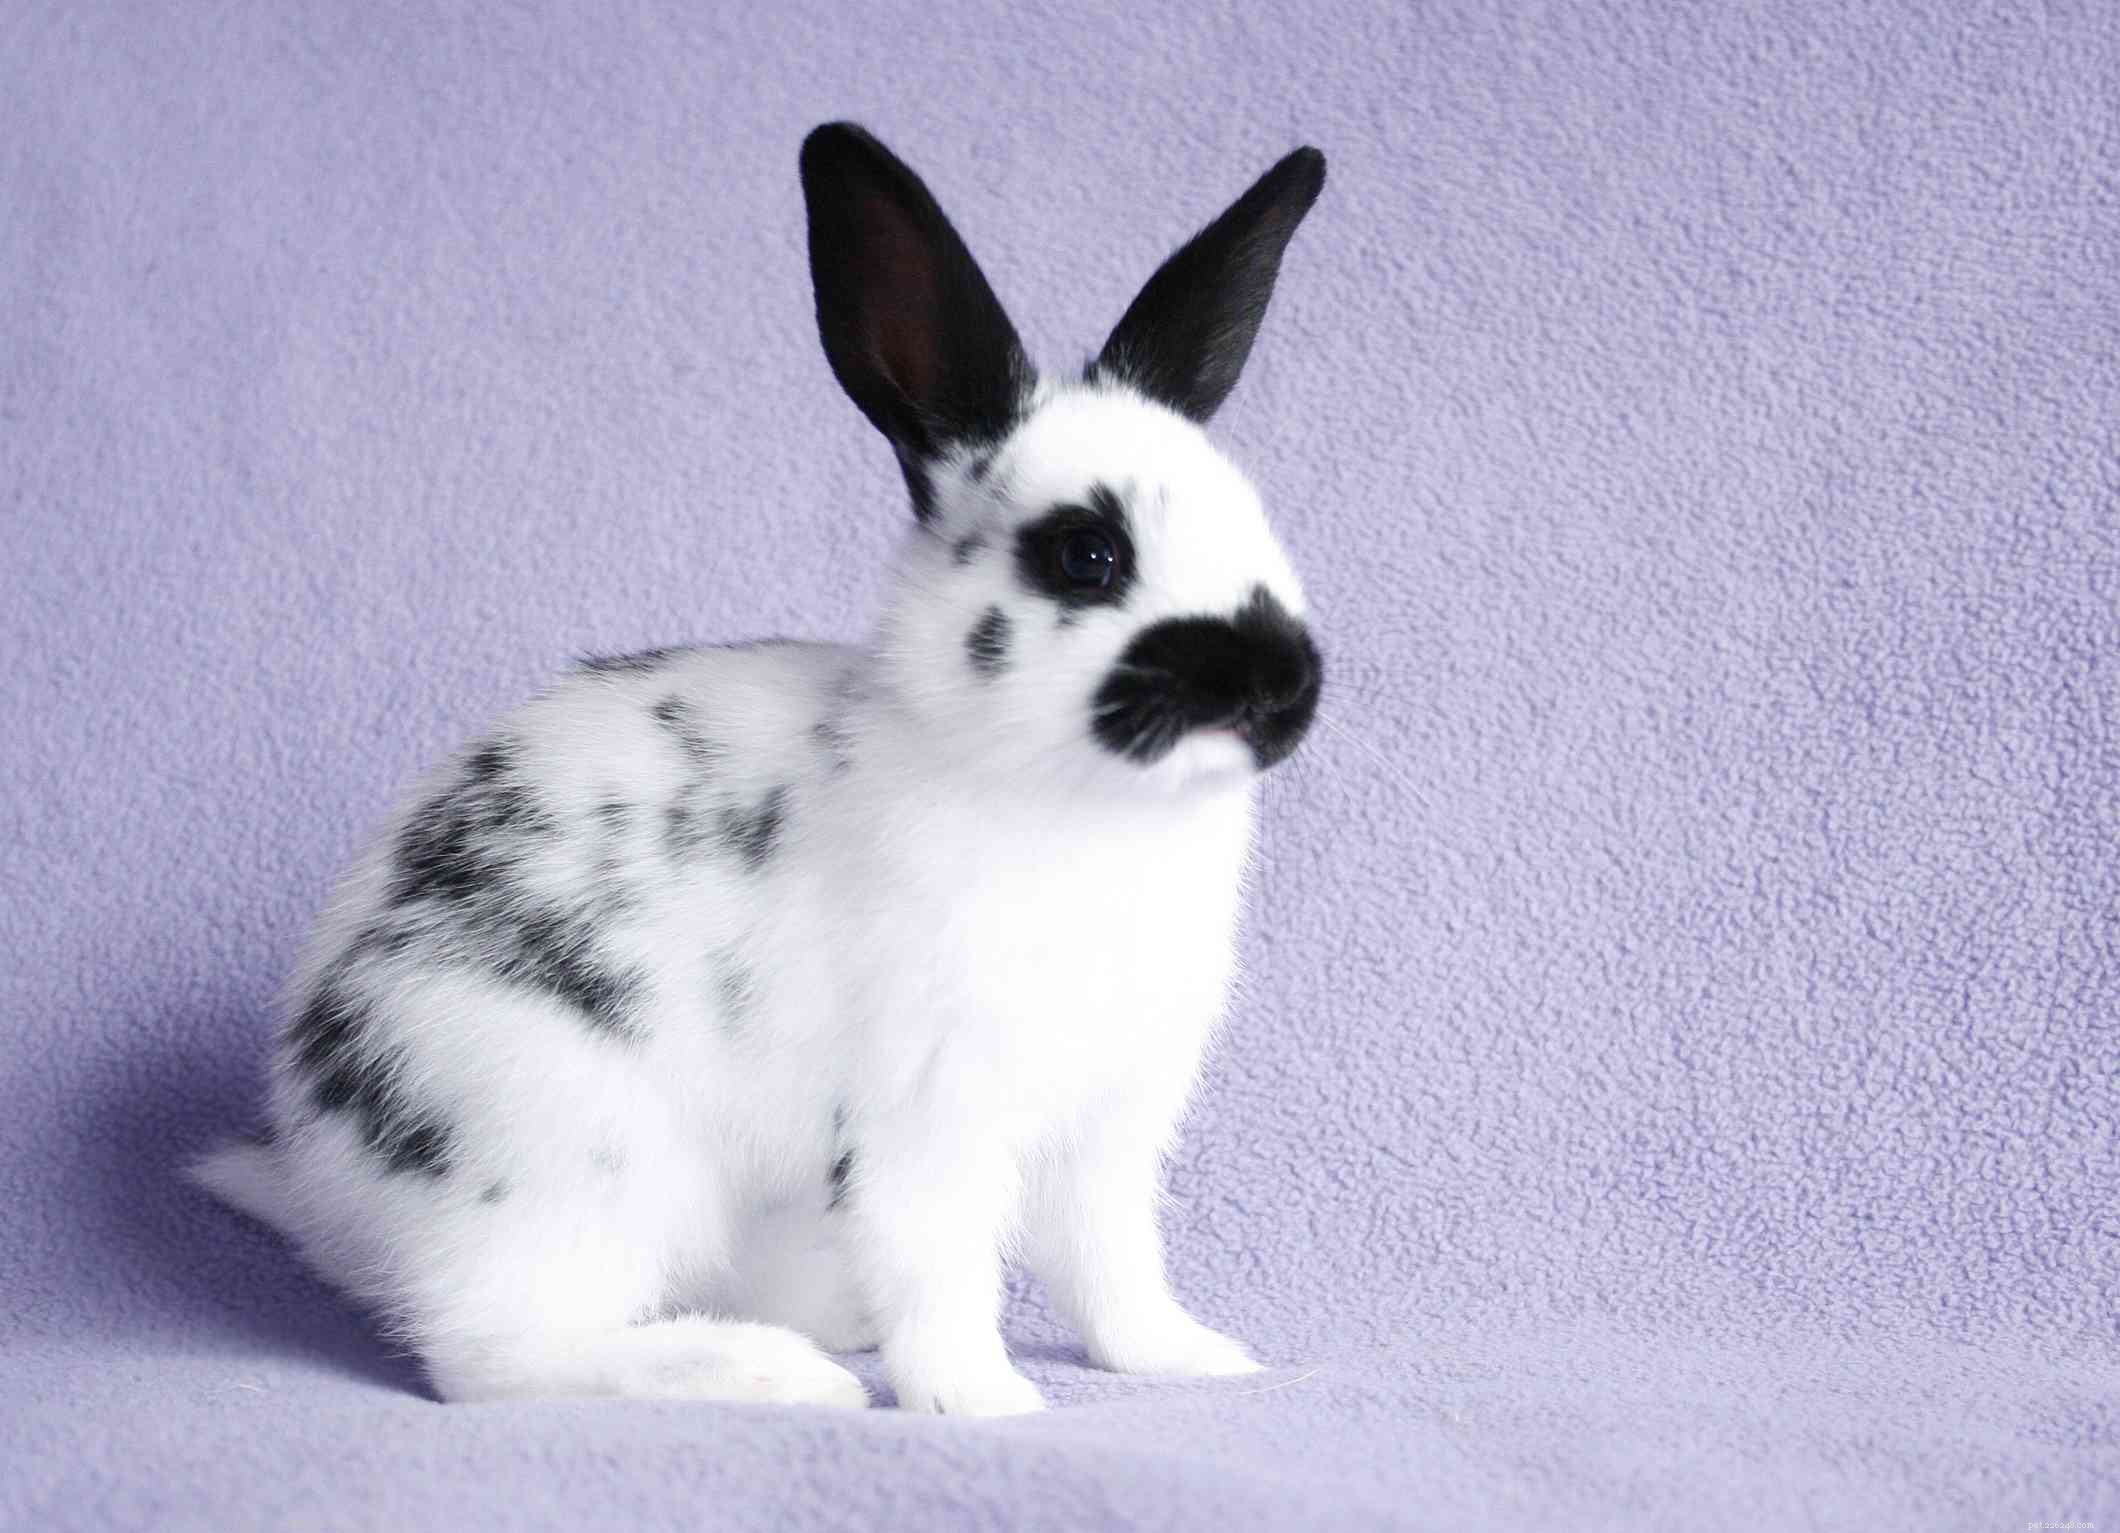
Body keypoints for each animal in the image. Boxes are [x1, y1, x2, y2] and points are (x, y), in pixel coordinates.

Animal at [191, 121, 1326, 1416]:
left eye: (1255, 518)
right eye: (1085, 555)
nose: (1281, 687)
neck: (1076, 799)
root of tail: (325, 1186)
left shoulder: (1110, 1124)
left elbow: (1111, 1264)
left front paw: (1190, 1360)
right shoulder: (927, 1113)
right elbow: (940, 1262)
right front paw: (980, 1402)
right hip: (564, 1149)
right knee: (492, 1357)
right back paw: (769, 1371)